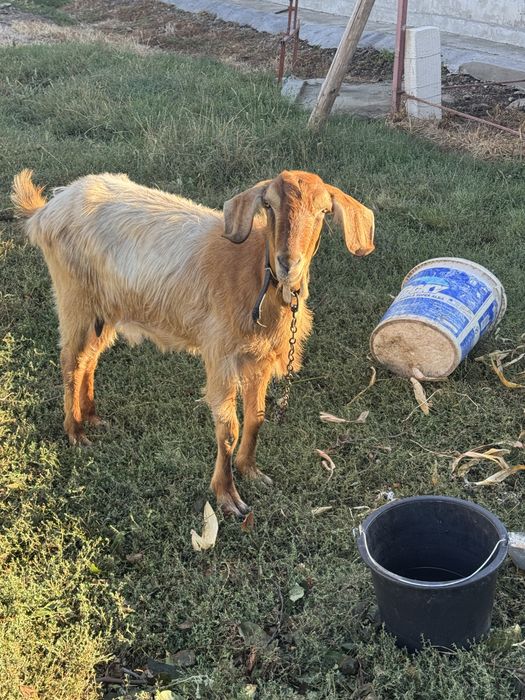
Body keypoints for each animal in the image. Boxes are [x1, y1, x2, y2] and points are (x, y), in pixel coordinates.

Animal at [12, 169, 375, 515]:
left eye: (324, 211)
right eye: (268, 205)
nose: (288, 262)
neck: (253, 270)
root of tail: (49, 209)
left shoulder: (256, 359)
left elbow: (256, 416)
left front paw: (251, 471)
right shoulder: (221, 353)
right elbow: (228, 428)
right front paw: (228, 497)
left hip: (106, 308)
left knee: (89, 358)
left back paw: (92, 417)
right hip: (75, 297)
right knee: (71, 360)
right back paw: (75, 432)